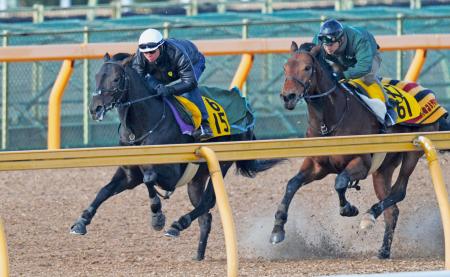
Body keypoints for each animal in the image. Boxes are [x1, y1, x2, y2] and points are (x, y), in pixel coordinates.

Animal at [69, 52, 278, 260]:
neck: (144, 127)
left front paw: (157, 217)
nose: (95, 109)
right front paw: (81, 221)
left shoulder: (171, 175)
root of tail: (246, 108)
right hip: (197, 179)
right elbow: (104, 191)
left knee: (208, 202)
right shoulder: (129, 174)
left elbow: (149, 178)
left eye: (116, 79)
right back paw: (198, 255)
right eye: (97, 77)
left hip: (222, 163)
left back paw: (177, 225)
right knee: (206, 215)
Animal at [270, 41, 450, 258]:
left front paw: (349, 208)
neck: (330, 120)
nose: (288, 96)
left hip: (412, 153)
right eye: (285, 68)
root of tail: (431, 97)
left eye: (307, 67)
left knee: (399, 191)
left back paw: (369, 216)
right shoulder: (316, 166)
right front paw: (277, 229)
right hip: (383, 168)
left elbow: (340, 182)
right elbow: (291, 184)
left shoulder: (361, 163)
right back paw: (383, 250)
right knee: (393, 209)